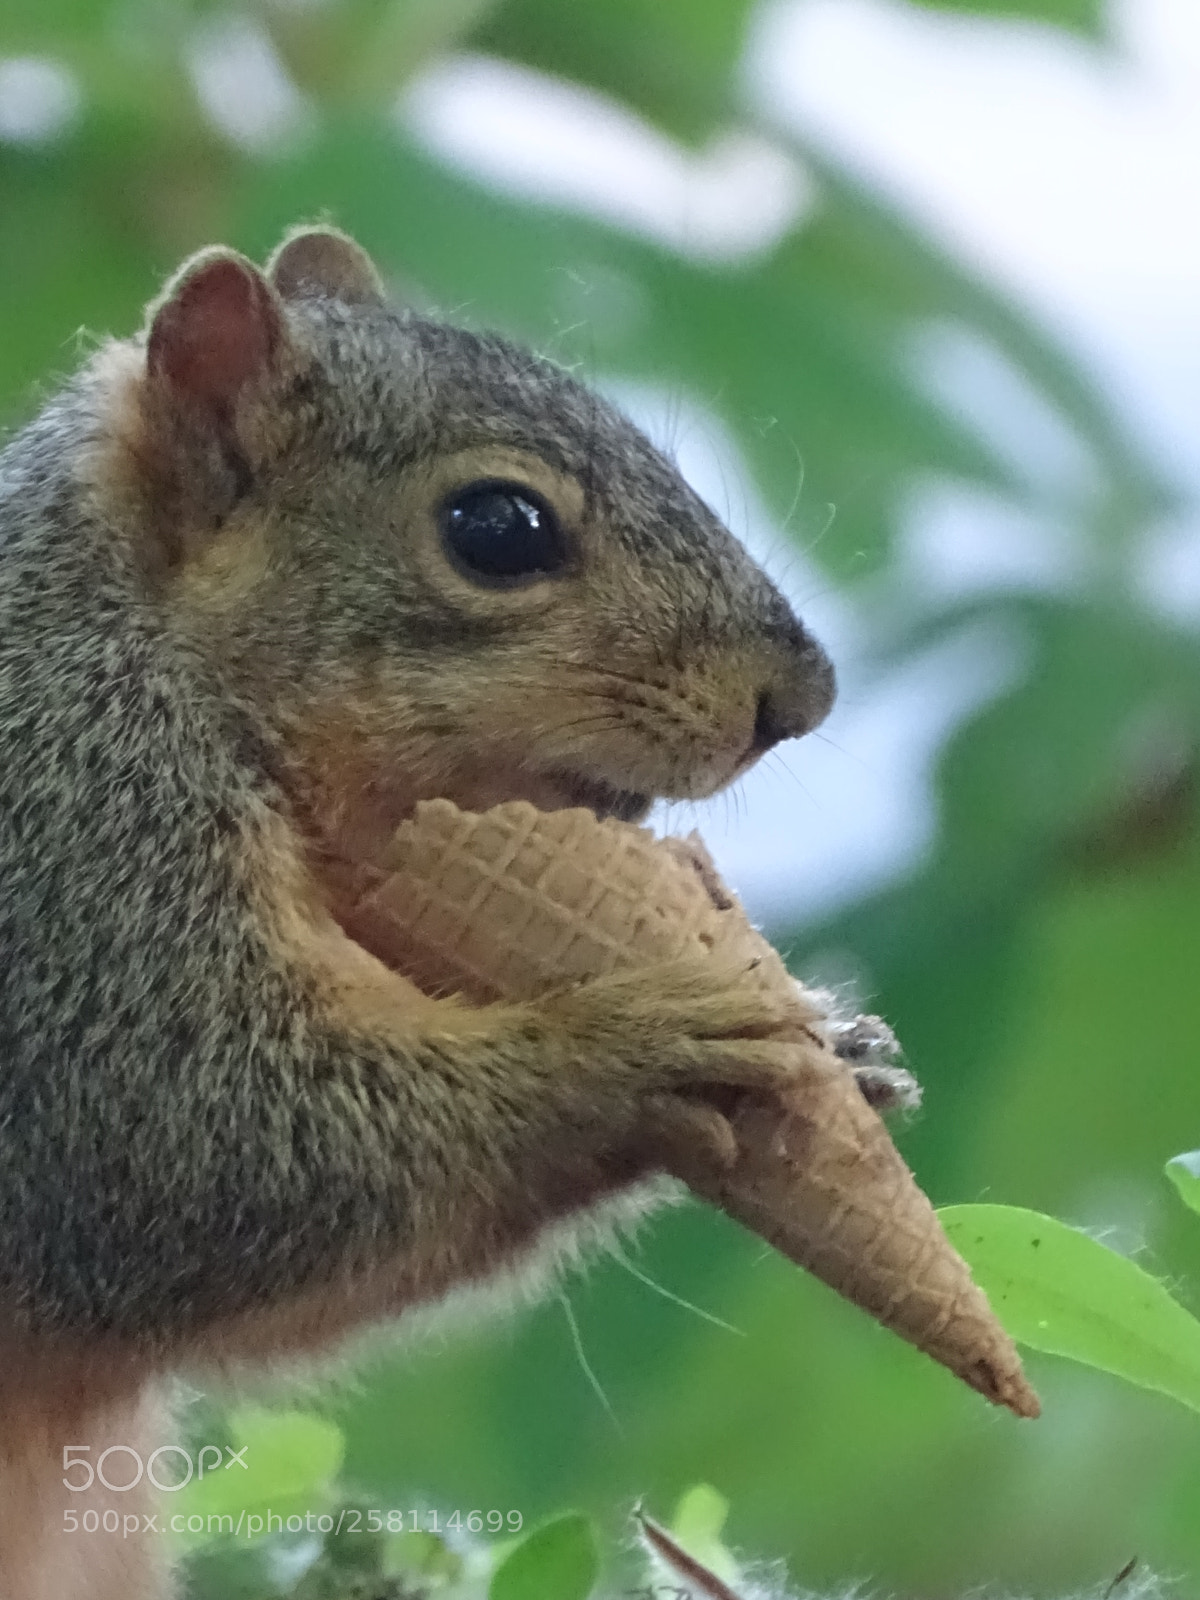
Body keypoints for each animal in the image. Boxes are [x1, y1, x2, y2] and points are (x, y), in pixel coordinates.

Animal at [0, 225, 837, 1600]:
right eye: (497, 528)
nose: (803, 697)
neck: (131, 639)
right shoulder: (65, 877)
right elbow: (190, 1148)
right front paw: (636, 1048)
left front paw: (848, 1045)